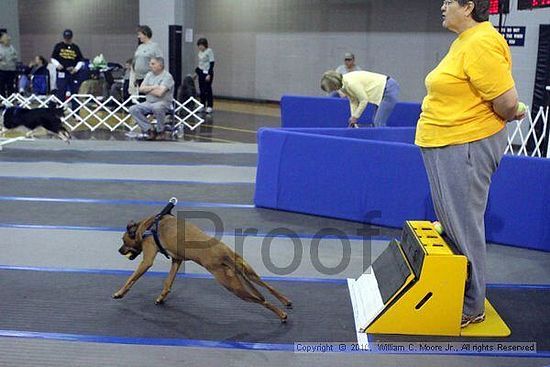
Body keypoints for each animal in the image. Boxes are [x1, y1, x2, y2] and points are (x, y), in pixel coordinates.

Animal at [115, 210, 296, 322]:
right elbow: (168, 282)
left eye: (124, 241)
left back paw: (281, 315)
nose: (119, 250)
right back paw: (286, 301)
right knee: (269, 287)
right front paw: (162, 296)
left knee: (262, 301)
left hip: (234, 287)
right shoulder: (177, 260)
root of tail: (224, 255)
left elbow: (131, 279)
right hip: (247, 272)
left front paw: (119, 293)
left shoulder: (147, 261)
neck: (147, 225)